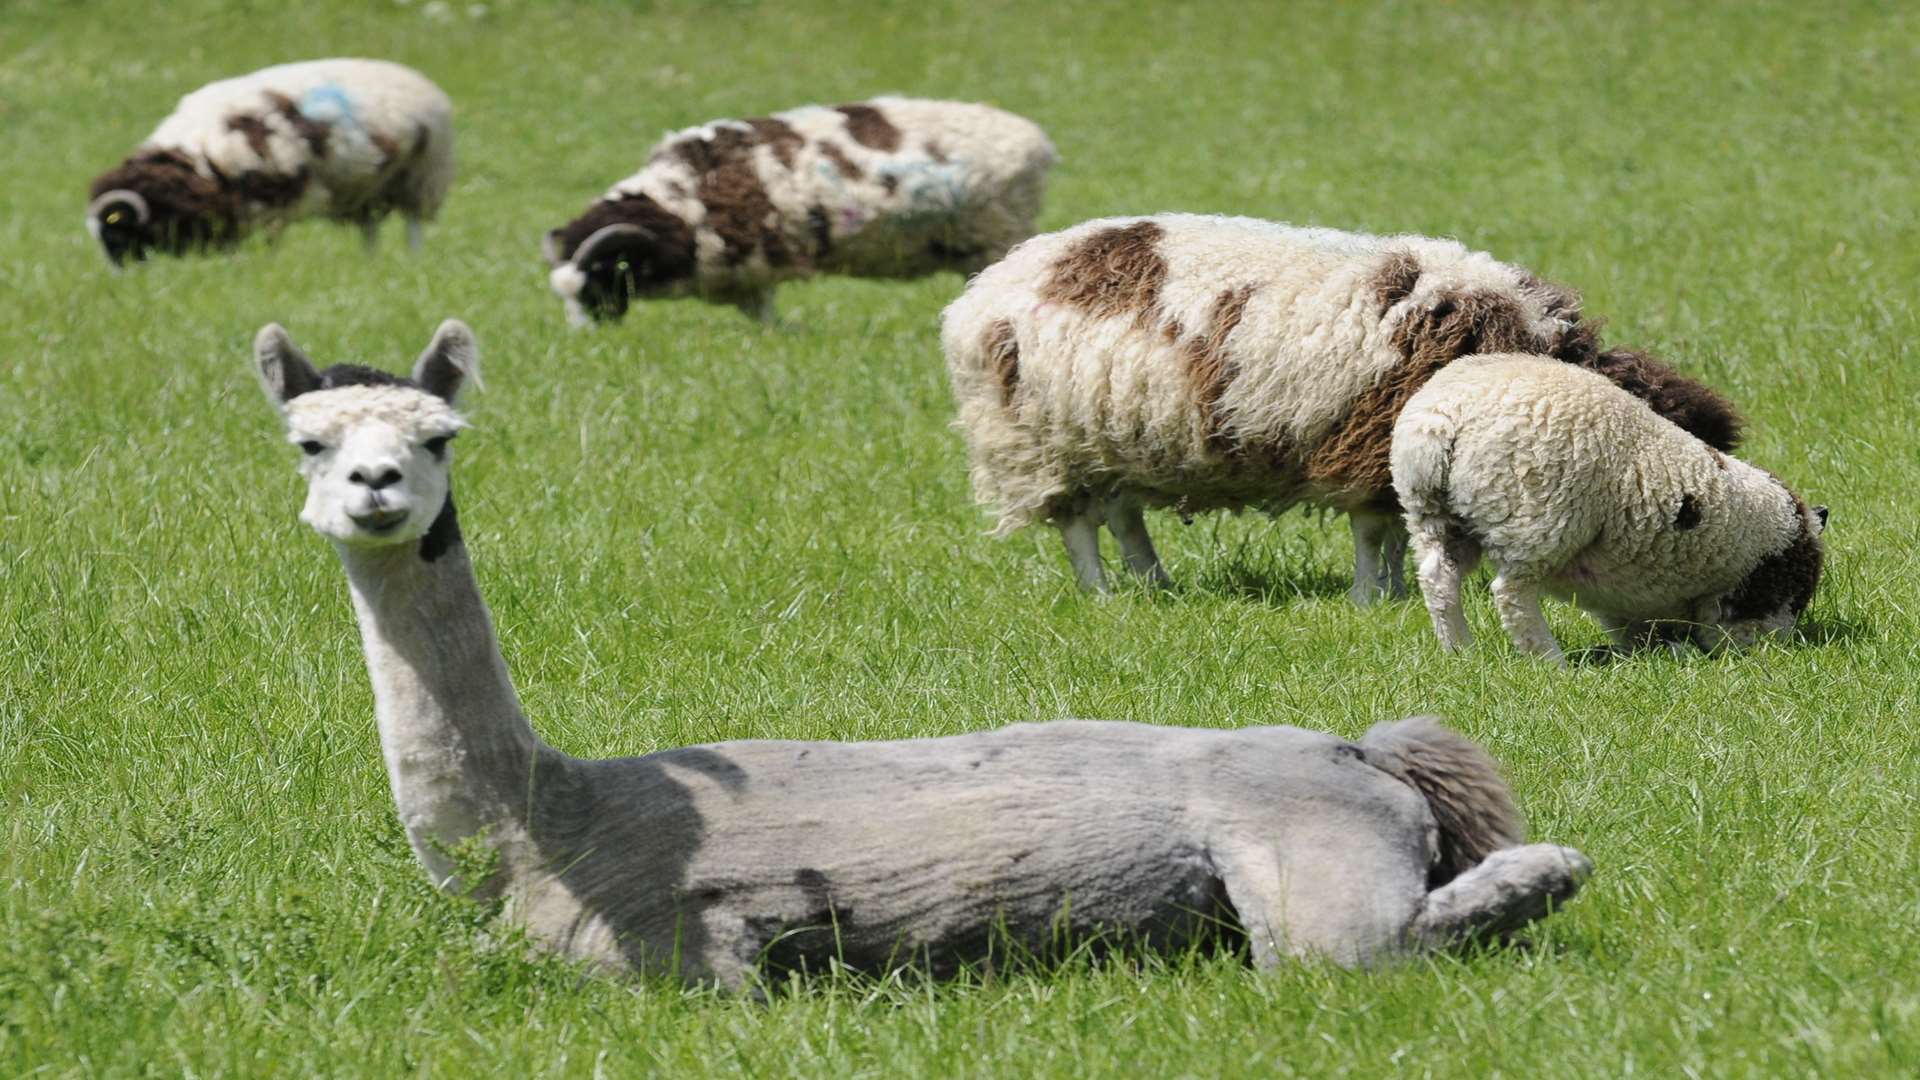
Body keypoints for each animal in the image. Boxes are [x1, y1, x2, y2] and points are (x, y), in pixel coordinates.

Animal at [87, 57, 456, 265]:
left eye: (115, 235)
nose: (124, 274)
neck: (197, 161)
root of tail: (419, 79)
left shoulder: (272, 199)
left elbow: (269, 242)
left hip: (420, 176)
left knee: (413, 224)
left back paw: (412, 261)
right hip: (366, 188)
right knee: (370, 229)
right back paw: (372, 265)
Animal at [263, 315, 1597, 980]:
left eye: (438, 434)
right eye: (307, 440)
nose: (379, 489)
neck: (536, 826)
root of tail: (1360, 752)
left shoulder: (666, 955)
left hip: (1313, 866)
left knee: (1370, 948)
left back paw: (1544, 871)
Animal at [541, 96, 1059, 322]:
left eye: (599, 284)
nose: (591, 342)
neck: (678, 205)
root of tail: (1036, 140)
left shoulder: (751, 269)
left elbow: (766, 321)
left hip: (997, 232)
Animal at [940, 210, 1743, 595]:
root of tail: (986, 286)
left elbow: (1394, 530)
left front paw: (1392, 591)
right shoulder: (1367, 439)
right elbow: (1372, 530)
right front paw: (1370, 597)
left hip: (1120, 436)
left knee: (1123, 514)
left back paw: (1152, 582)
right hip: (1039, 440)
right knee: (1079, 525)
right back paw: (1105, 593)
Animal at [1390, 353, 1820, 661]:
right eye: (1795, 593)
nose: (1779, 649)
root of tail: (1442, 419)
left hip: (1431, 514)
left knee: (1438, 578)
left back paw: (1459, 651)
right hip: (1535, 520)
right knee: (1511, 595)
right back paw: (1550, 660)